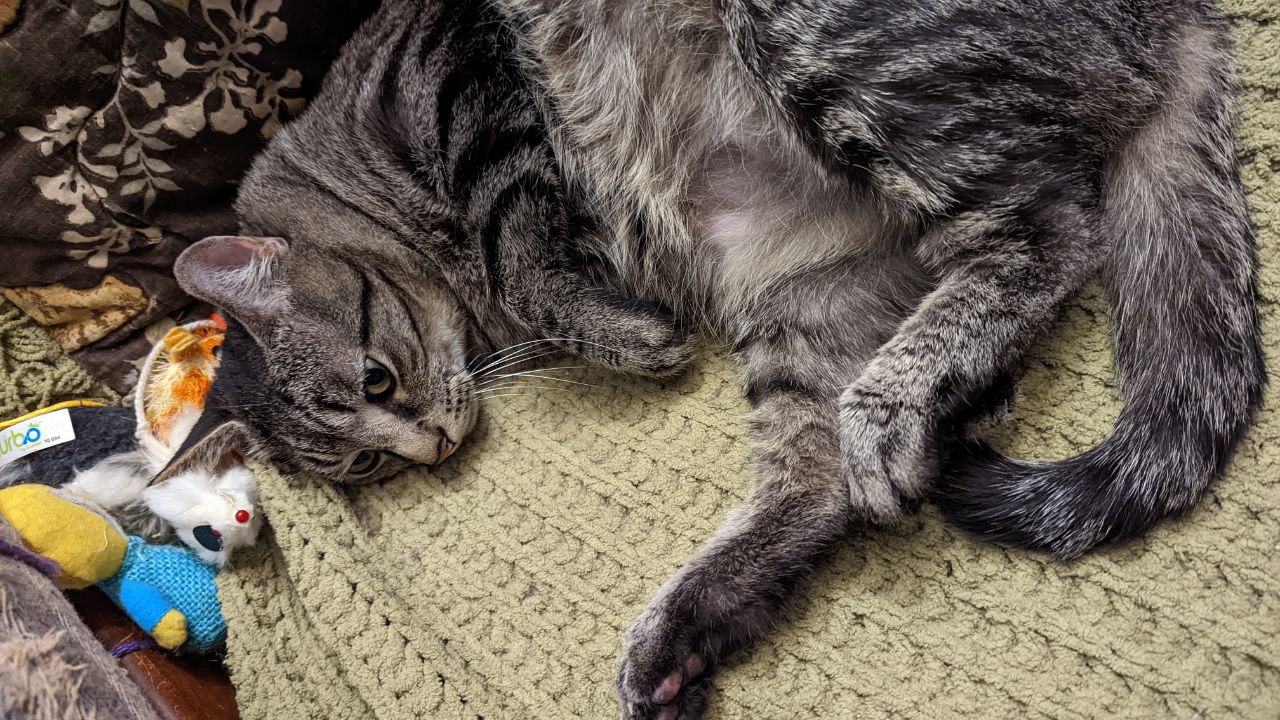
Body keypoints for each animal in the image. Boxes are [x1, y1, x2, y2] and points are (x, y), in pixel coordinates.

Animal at [165, 2, 1264, 712]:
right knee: (814, 484)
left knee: (1053, 226)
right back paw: (689, 630)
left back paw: (901, 401)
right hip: (804, 313)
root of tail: (1171, 14)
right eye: (364, 463)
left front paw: (625, 335)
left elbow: (519, 248)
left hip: (823, 40)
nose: (428, 447)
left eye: (376, 380)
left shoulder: (469, 88)